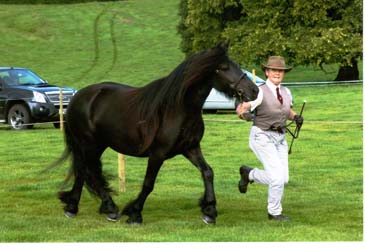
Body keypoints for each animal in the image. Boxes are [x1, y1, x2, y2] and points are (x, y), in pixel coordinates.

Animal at [53, 45, 258, 225]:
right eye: (223, 67)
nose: (254, 90)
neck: (177, 108)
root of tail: (77, 97)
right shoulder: (158, 154)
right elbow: (148, 184)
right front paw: (135, 214)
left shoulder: (190, 148)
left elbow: (208, 172)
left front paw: (209, 212)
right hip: (89, 144)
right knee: (90, 173)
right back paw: (110, 209)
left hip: (96, 145)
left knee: (82, 171)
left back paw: (73, 207)